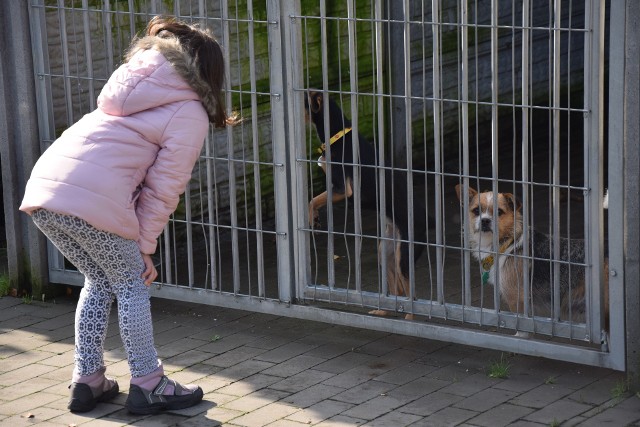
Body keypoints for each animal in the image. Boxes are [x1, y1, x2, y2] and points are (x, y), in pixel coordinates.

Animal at [306, 91, 428, 318]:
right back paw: (382, 311)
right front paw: (315, 218)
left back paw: (409, 316)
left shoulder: (342, 189)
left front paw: (313, 218)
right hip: (386, 251)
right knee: (396, 291)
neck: (337, 133)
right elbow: (316, 197)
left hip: (404, 256)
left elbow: (313, 200)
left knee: (411, 294)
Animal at [456, 184, 608, 328]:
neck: (508, 243)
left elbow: (522, 329)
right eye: (476, 211)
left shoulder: (517, 299)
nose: (485, 221)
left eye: (499, 212)